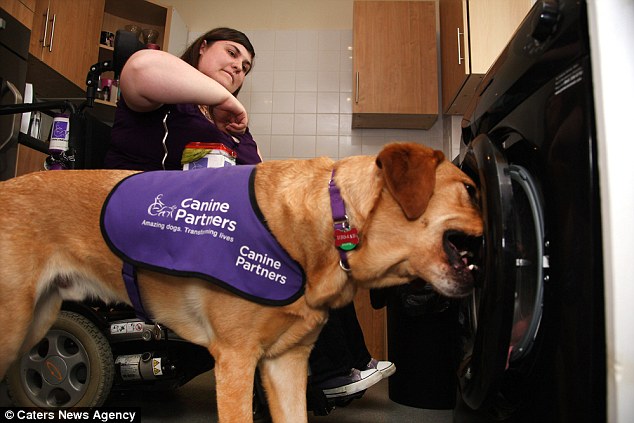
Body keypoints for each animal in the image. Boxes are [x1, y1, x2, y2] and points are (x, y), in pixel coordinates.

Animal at [0, 143, 478, 423]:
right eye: (471, 190)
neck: (329, 222)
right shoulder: (235, 361)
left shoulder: (285, 365)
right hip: (14, 324)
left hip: (36, 323)